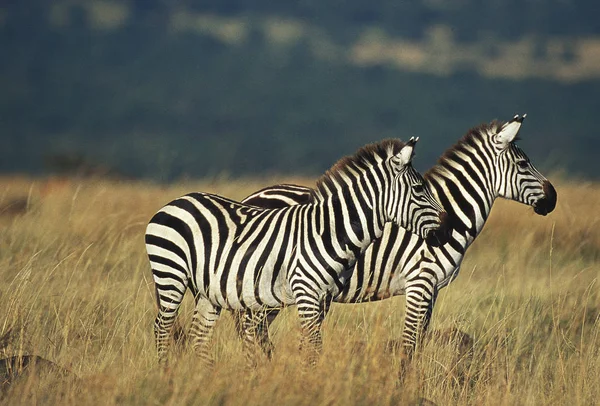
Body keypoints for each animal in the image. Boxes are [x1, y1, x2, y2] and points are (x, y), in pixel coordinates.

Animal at [145, 136, 448, 364]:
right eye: (419, 188)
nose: (446, 231)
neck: (329, 232)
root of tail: (177, 200)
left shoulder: (324, 296)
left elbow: (309, 345)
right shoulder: (306, 292)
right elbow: (313, 347)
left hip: (209, 289)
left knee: (198, 335)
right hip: (170, 273)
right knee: (162, 327)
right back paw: (166, 374)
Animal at [232, 114, 556, 362]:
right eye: (524, 164)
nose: (553, 199)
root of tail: (251, 196)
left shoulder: (433, 290)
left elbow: (420, 342)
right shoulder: (419, 283)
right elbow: (409, 345)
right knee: (251, 332)